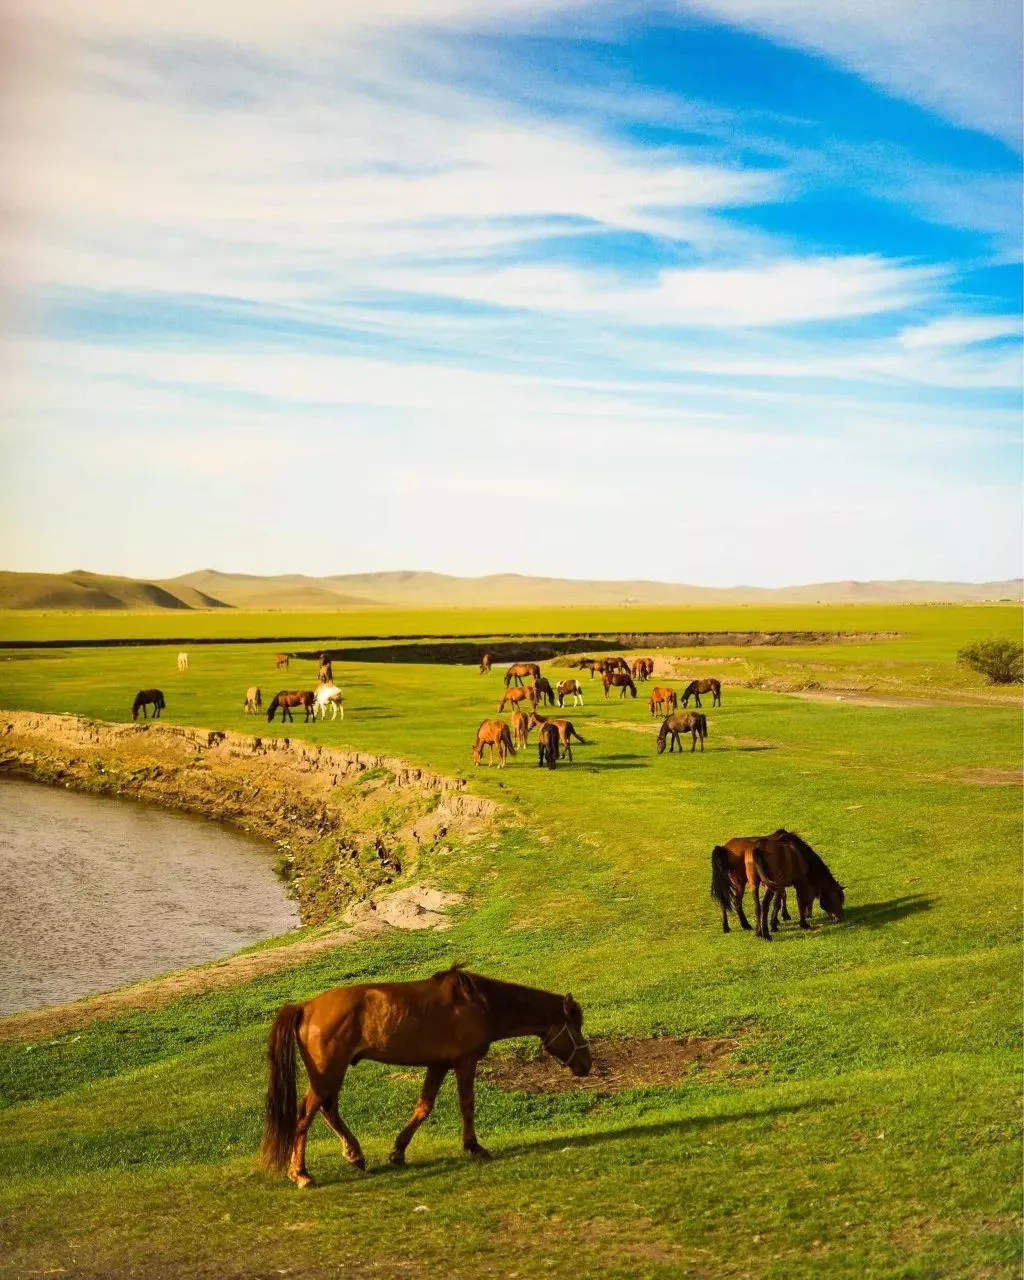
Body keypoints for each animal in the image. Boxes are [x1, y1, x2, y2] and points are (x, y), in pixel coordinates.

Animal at [258, 967, 591, 1187]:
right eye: (575, 1028)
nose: (587, 1065)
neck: (480, 1004)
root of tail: (305, 1007)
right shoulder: (465, 1062)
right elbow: (467, 1105)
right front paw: (474, 1147)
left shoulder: (438, 1065)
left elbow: (423, 1107)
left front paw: (398, 1152)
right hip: (328, 1072)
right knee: (305, 1115)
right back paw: (301, 1174)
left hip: (331, 1072)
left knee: (328, 1109)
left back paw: (355, 1155)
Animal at [706, 829, 844, 942]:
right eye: (838, 899)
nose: (839, 919)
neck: (799, 853)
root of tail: (723, 848)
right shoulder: (798, 882)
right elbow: (795, 900)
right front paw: (799, 923)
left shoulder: (779, 884)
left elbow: (781, 899)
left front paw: (779, 919)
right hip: (743, 883)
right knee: (754, 904)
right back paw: (760, 932)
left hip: (749, 883)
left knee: (740, 904)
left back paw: (737, 928)